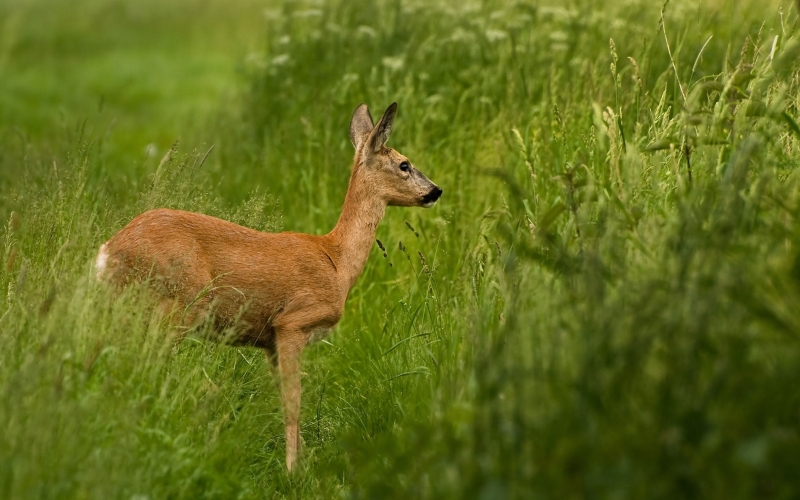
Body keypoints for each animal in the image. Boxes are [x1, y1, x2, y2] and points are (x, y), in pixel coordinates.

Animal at [94, 102, 444, 472]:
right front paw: (293, 470)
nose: (436, 191)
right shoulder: (291, 322)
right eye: (404, 164)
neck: (337, 262)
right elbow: (293, 400)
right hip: (175, 305)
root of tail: (108, 252)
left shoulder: (269, 343)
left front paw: (302, 459)